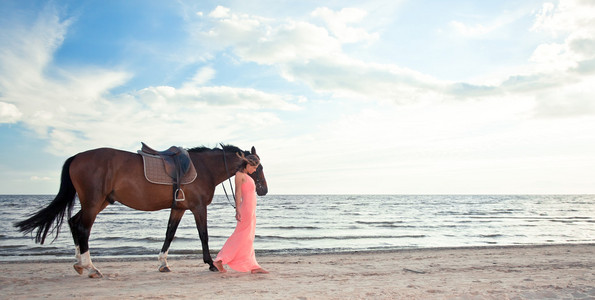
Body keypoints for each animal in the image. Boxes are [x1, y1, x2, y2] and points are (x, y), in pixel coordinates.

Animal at [14, 144, 268, 278]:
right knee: (82, 227)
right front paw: (211, 263)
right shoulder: (198, 208)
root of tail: (77, 156)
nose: (264, 190)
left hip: (99, 201)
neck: (203, 168)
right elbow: (203, 235)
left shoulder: (178, 208)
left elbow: (169, 234)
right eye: (258, 167)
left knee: (74, 223)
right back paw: (91, 267)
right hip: (93, 202)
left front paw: (163, 263)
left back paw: (79, 263)